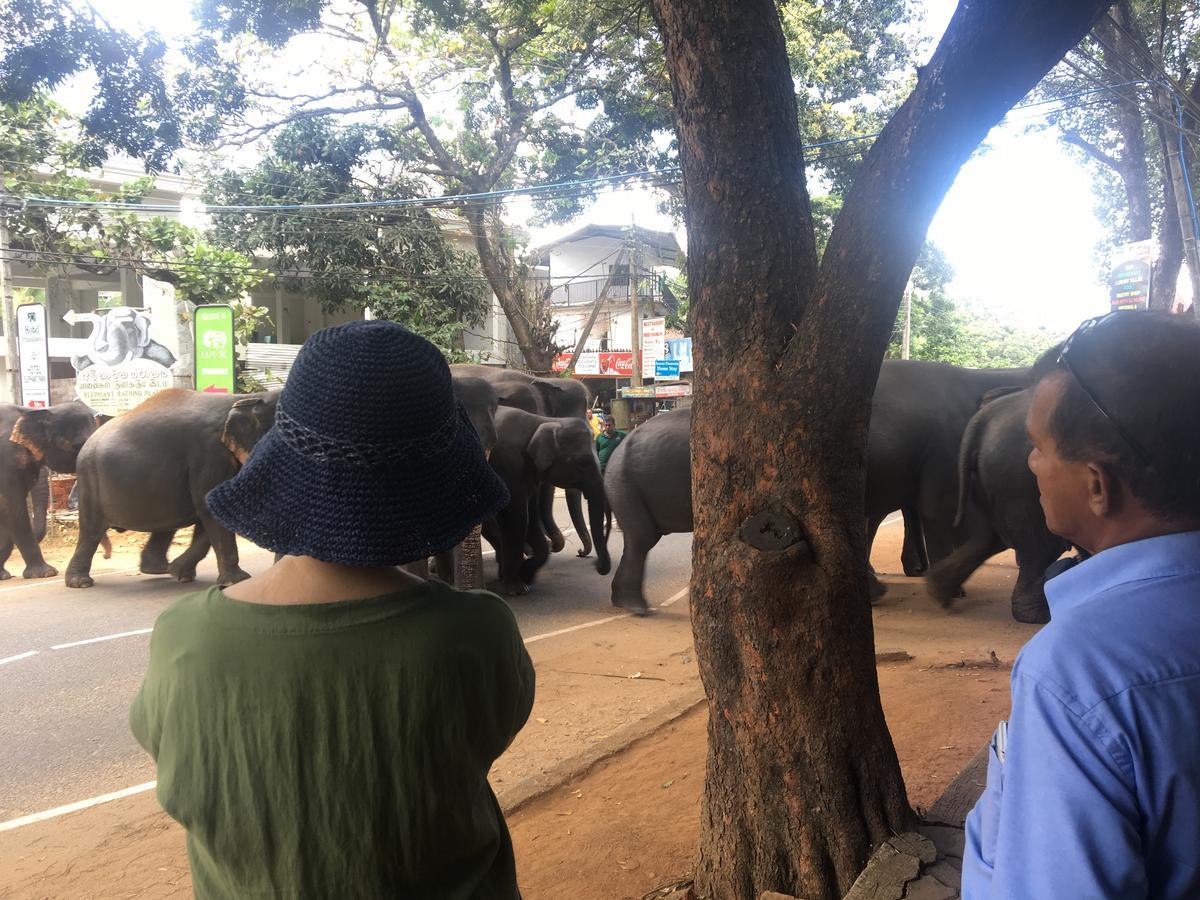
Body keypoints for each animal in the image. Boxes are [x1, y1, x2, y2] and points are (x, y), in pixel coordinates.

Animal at [66, 388, 280, 592]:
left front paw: (180, 573)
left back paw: (157, 569)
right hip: (90, 479)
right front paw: (237, 582)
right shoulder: (210, 455)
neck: (247, 397)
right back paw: (81, 583)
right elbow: (211, 509)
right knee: (91, 531)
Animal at [482, 410, 609, 600]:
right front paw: (517, 589)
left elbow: (531, 518)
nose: (595, 564)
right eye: (583, 462)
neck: (543, 421)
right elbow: (517, 519)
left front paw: (526, 575)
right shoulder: (508, 466)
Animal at [921, 388, 1065, 628]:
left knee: (988, 537)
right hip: (1022, 483)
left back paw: (937, 591)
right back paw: (1038, 617)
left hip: (986, 479)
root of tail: (982, 420)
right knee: (1041, 547)